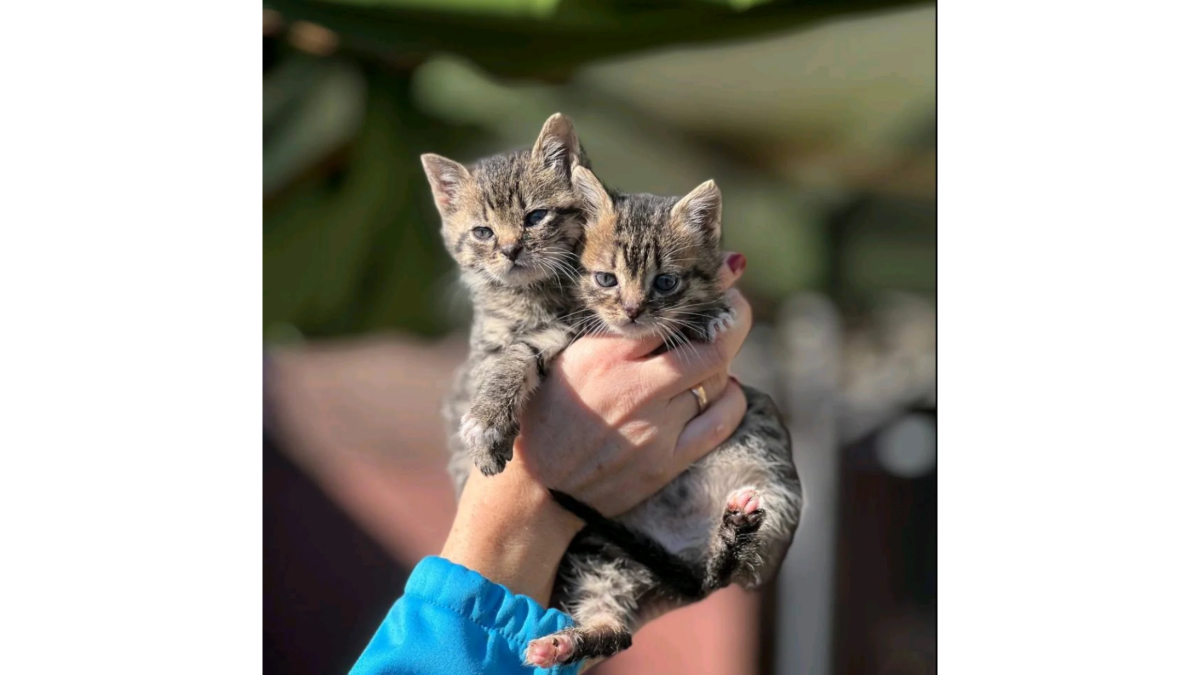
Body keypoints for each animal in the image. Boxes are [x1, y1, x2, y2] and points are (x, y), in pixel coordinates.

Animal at [422, 112, 590, 480]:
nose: (511, 250)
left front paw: (488, 423)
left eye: (536, 217)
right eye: (483, 232)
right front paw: (488, 425)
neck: (528, 296)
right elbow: (490, 368)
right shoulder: (484, 346)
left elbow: (520, 351)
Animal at [525, 165, 806, 662]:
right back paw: (563, 643)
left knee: (724, 571)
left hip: (773, 482)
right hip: (603, 553)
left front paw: (709, 317)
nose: (633, 311)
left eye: (666, 283)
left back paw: (735, 534)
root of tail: (684, 552)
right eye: (607, 280)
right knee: (616, 629)